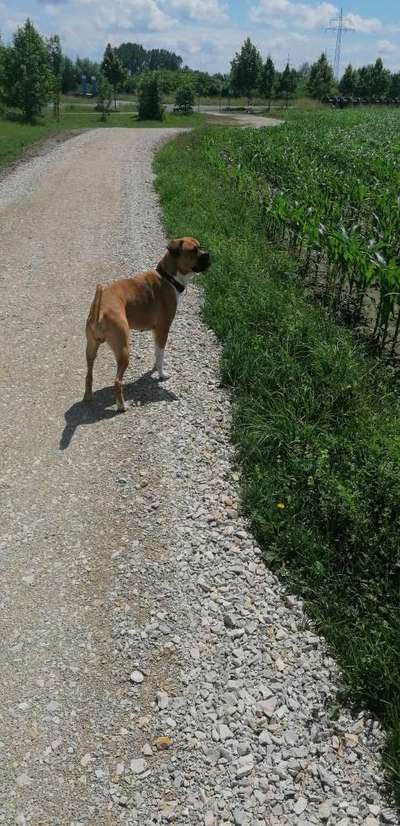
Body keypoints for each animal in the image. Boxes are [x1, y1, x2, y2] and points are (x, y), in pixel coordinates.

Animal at [83, 235, 211, 408]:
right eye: (193, 250)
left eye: (200, 246)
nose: (209, 254)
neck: (168, 278)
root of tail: (100, 310)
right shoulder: (163, 329)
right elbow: (161, 354)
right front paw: (161, 374)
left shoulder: (156, 331)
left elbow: (157, 352)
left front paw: (155, 368)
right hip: (123, 350)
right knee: (117, 381)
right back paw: (121, 406)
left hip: (91, 349)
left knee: (89, 374)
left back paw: (88, 396)